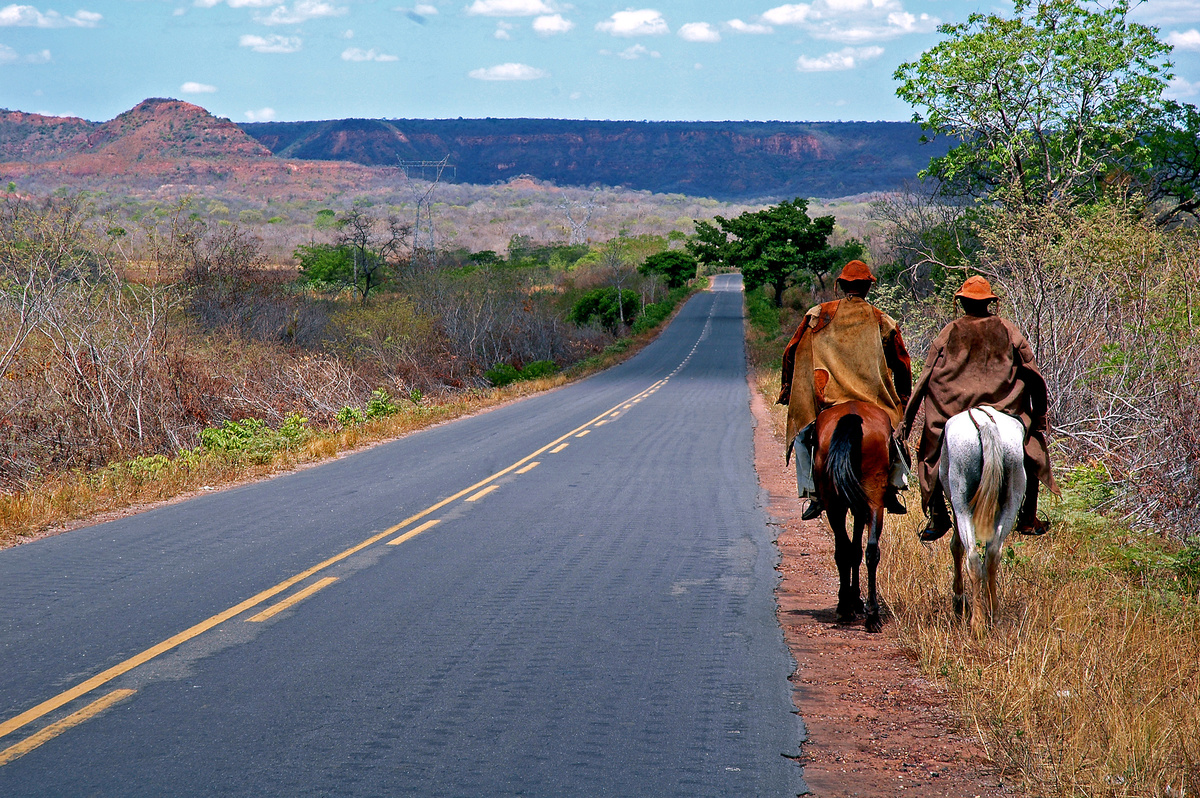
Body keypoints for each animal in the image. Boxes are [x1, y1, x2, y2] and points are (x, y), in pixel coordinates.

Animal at [811, 400, 897, 633]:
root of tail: (852, 415)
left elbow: (852, 551)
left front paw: (853, 601)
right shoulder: (860, 506)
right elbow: (857, 550)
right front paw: (857, 601)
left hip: (835, 503)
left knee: (845, 550)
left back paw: (845, 608)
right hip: (873, 499)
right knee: (871, 551)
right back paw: (872, 616)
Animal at [940, 408, 1027, 624]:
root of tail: (985, 423)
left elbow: (956, 546)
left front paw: (959, 599)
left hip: (962, 504)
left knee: (971, 556)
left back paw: (976, 620)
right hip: (1011, 501)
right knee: (992, 555)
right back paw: (993, 614)